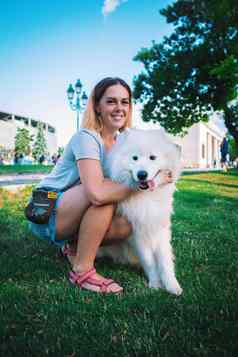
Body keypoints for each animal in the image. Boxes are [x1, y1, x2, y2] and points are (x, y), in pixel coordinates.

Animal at [97, 128, 183, 294]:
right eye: (135, 158)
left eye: (152, 157)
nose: (142, 174)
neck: (146, 196)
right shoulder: (137, 234)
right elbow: (149, 261)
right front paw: (155, 284)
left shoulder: (159, 229)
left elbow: (165, 261)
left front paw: (172, 285)